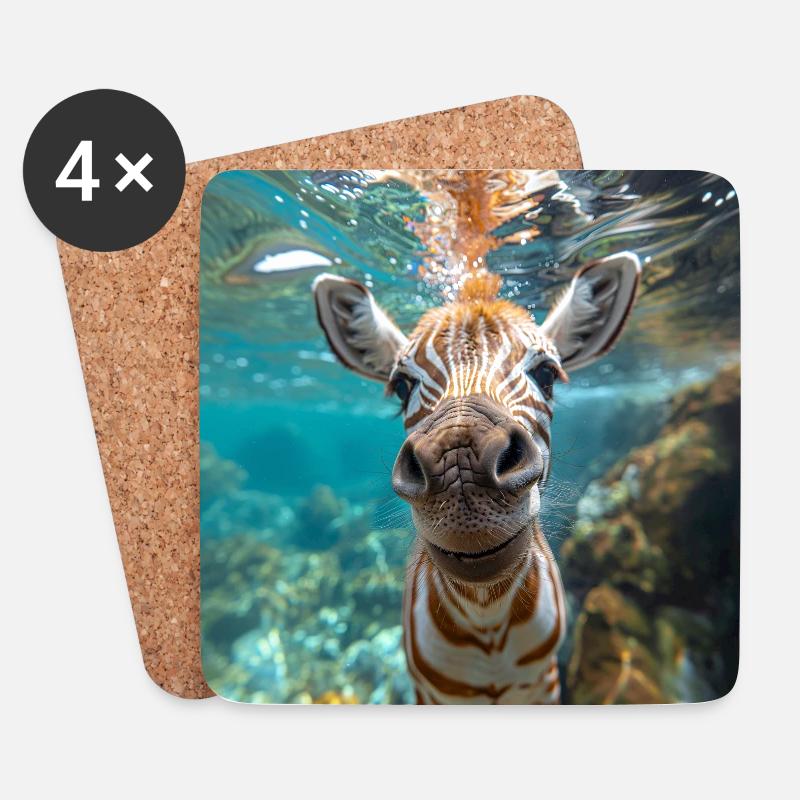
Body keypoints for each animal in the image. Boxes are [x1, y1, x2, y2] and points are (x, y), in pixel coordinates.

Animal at [313, 252, 640, 703]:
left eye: (547, 374)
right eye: (402, 386)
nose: (459, 465)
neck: (488, 620)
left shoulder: (544, 682)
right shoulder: (429, 692)